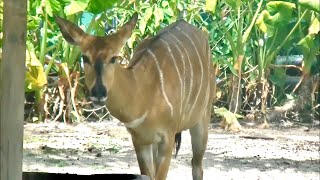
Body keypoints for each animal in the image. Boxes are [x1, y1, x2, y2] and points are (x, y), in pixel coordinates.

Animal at [55, 12, 215, 180]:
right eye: (85, 58)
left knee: (197, 165)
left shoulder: (168, 137)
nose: (98, 93)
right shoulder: (139, 140)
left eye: (113, 58)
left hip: (203, 118)